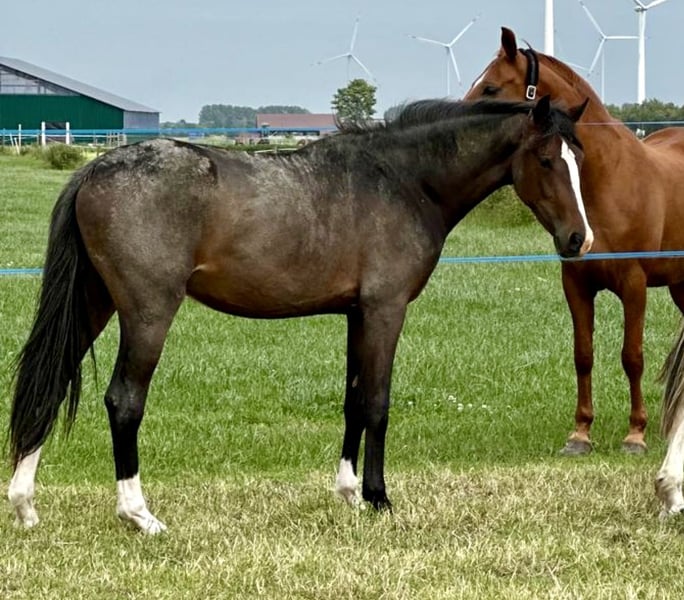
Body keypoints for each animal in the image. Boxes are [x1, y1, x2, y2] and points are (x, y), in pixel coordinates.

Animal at [7, 96, 593, 534]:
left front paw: (349, 493)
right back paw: (139, 514)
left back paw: (24, 504)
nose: (579, 240)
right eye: (547, 160)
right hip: (148, 312)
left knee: (51, 385)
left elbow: (353, 401)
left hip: (94, 302)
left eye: (578, 159)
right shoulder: (385, 309)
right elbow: (378, 402)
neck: (403, 180)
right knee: (124, 401)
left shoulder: (357, 314)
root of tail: (93, 170)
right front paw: (379, 498)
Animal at [465, 27, 684, 456]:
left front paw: (635, 434)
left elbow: (632, 357)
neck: (606, 181)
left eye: (491, 87)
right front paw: (580, 433)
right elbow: (583, 354)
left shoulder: (634, 285)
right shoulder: (576, 283)